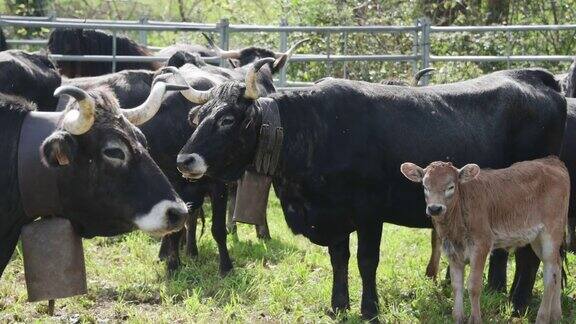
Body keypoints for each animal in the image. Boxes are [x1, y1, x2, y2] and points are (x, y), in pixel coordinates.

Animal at [400, 156, 568, 322]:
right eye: (425, 186)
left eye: (451, 187)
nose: (435, 208)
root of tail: (552, 160)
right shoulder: (452, 250)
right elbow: (456, 285)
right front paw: (458, 317)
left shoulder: (481, 244)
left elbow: (474, 285)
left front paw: (475, 319)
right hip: (537, 239)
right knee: (557, 265)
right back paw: (556, 314)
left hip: (551, 232)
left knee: (550, 274)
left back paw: (543, 317)